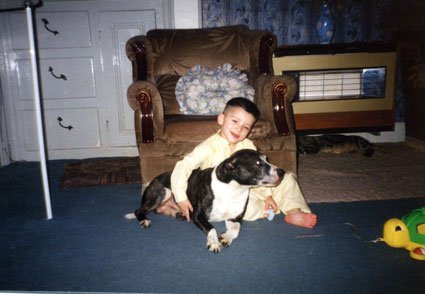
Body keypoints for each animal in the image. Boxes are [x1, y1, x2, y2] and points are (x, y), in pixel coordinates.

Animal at [126, 149, 284, 253]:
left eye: (267, 159)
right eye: (258, 163)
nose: (282, 171)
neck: (233, 189)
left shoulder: (235, 218)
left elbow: (235, 230)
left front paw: (226, 237)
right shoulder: (198, 215)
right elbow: (211, 228)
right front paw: (213, 242)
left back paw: (180, 214)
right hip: (162, 192)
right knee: (139, 210)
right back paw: (144, 220)